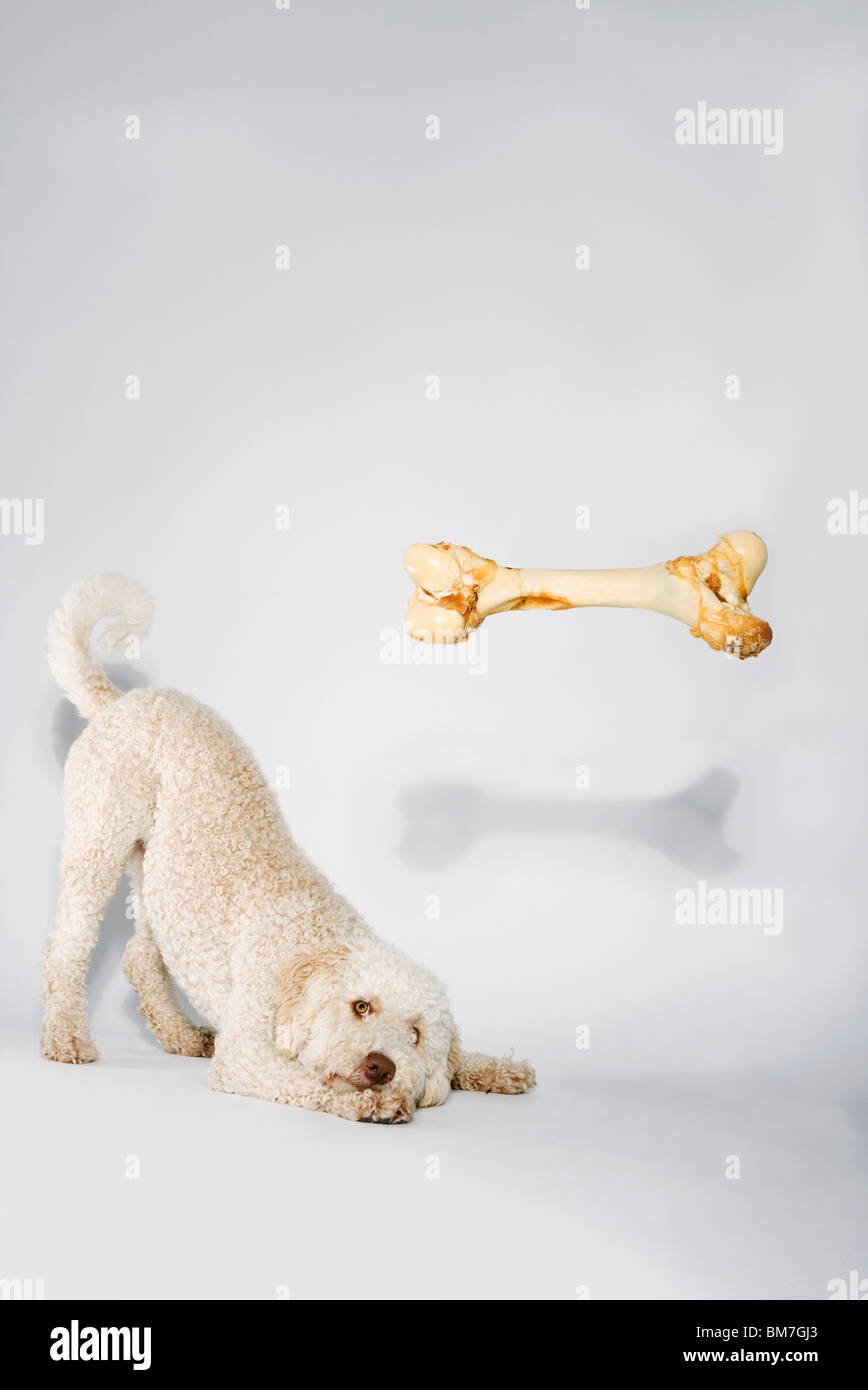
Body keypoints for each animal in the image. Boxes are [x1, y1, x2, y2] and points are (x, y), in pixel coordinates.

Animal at [42, 569, 536, 1123]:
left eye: (414, 1034)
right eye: (361, 1006)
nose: (380, 1067)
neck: (311, 946)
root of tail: (122, 700)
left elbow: (456, 1063)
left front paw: (496, 1068)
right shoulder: (247, 1058)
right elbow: (312, 1083)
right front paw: (374, 1103)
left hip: (154, 875)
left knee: (141, 958)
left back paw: (181, 1037)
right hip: (98, 838)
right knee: (68, 944)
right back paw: (65, 1036)